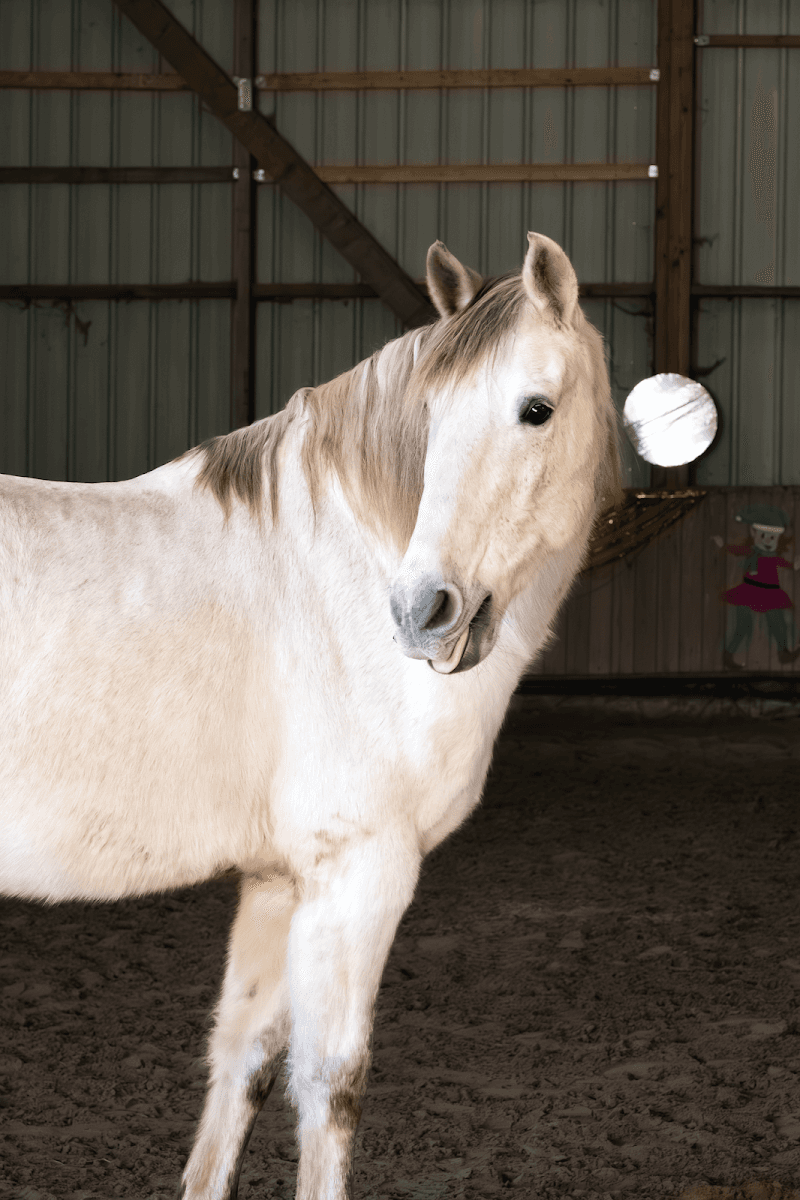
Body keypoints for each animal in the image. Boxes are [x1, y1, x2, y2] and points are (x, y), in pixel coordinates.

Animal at [0, 232, 620, 1200]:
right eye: (430, 413)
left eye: (537, 409)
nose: (423, 612)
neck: (338, 574)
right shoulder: (358, 873)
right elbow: (331, 1085)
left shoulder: (276, 881)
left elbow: (242, 1065)